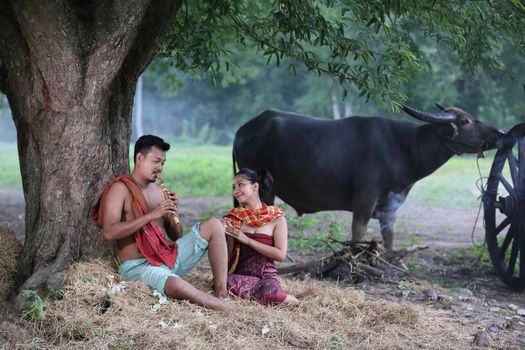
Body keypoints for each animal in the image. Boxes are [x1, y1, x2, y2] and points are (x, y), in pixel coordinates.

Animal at [233, 106, 504, 249]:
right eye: (465, 120)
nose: (499, 132)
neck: (404, 148)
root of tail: (244, 129)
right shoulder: (365, 199)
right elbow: (358, 232)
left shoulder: (390, 204)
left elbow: (389, 235)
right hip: (260, 190)